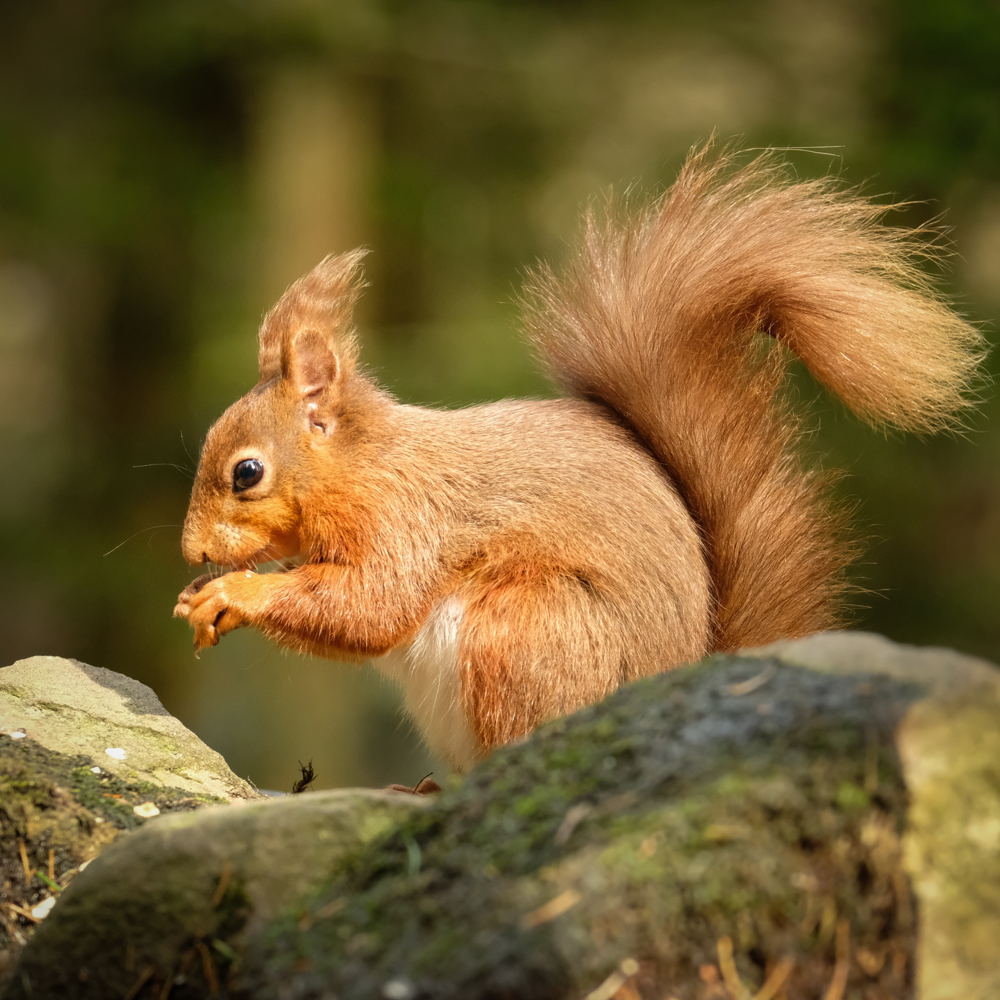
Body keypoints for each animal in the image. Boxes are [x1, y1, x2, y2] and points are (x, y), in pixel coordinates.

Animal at [174, 144, 984, 774]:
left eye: (247, 473)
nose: (191, 552)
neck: (364, 465)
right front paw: (199, 596)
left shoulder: (409, 520)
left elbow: (371, 605)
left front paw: (233, 594)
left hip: (528, 634)